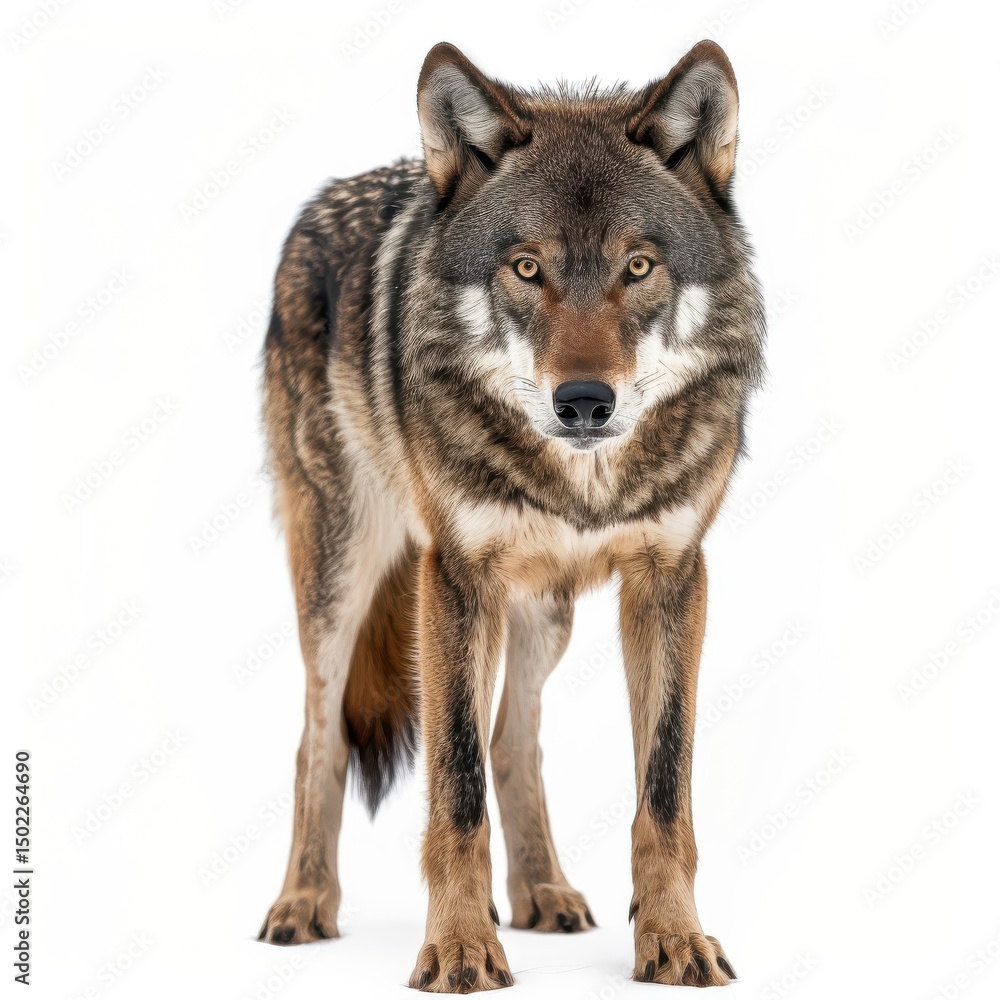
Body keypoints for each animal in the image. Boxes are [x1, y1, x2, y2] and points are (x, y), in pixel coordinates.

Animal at [257, 40, 765, 992]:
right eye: (527, 267)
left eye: (638, 266)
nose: (584, 401)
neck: (583, 481)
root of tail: (318, 207)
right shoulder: (454, 579)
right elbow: (452, 786)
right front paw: (459, 948)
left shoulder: (671, 579)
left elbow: (663, 787)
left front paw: (674, 940)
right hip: (344, 579)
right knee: (320, 737)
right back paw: (303, 904)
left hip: (544, 611)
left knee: (512, 739)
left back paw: (543, 893)